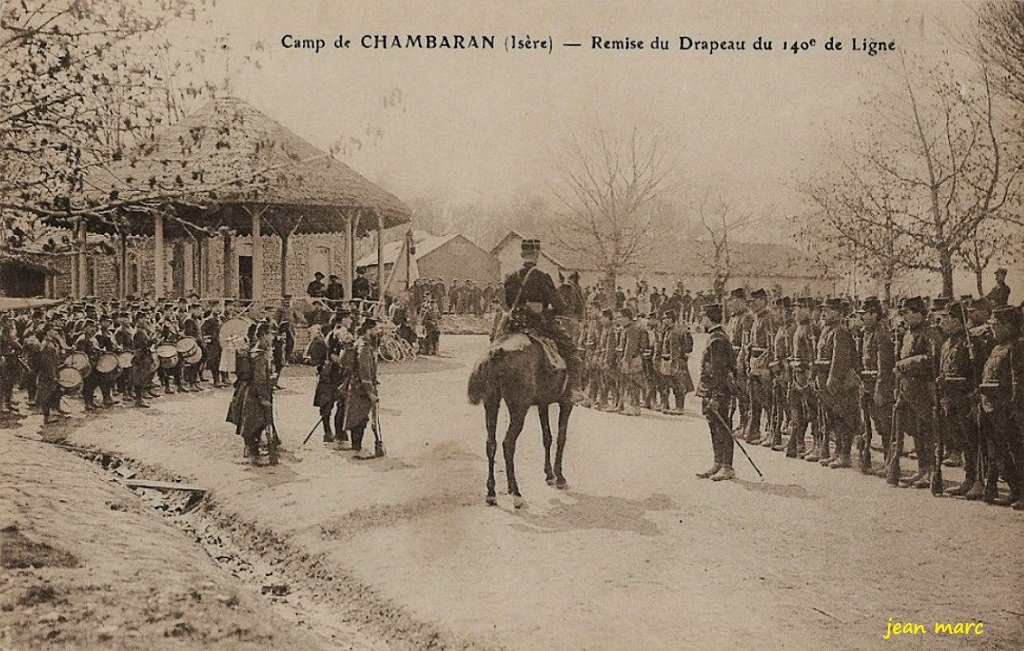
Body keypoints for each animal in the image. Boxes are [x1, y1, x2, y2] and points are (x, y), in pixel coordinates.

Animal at [468, 335, 573, 507]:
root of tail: (496, 352)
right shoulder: (567, 401)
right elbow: (561, 438)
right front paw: (560, 477)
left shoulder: (543, 403)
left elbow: (547, 437)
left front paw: (549, 475)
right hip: (519, 409)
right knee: (508, 444)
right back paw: (516, 494)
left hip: (491, 402)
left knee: (491, 444)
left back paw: (492, 493)